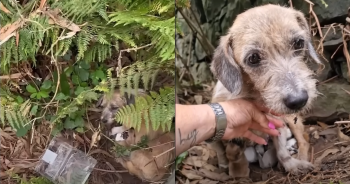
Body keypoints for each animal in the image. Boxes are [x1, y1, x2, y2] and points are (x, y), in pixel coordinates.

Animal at [206, 3, 324, 178]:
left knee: (303, 139)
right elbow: (226, 150)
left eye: (298, 43)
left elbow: (282, 151)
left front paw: (291, 165)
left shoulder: (278, 123)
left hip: (292, 121)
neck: (253, 95)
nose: (299, 100)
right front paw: (230, 167)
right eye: (253, 58)